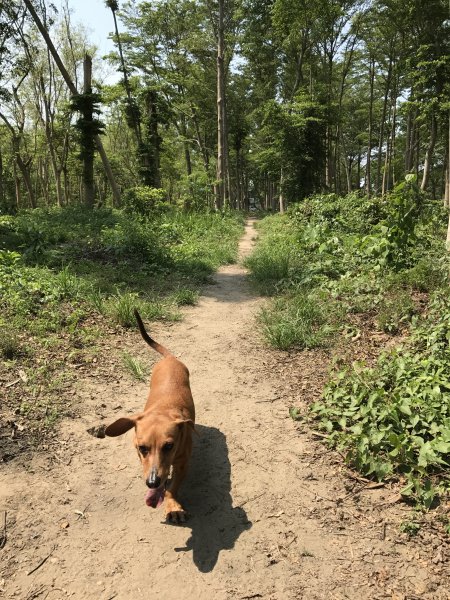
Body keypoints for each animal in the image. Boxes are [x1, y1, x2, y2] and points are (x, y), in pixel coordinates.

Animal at [107, 312, 197, 524]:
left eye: (169, 446)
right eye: (142, 448)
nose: (152, 482)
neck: (163, 410)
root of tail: (170, 358)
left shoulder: (182, 464)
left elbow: (172, 487)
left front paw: (173, 506)